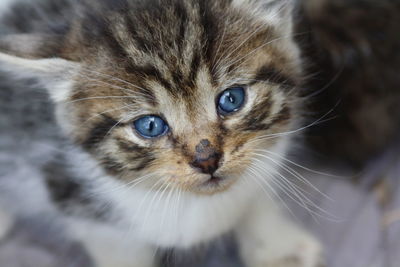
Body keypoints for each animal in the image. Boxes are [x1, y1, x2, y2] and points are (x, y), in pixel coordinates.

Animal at [0, 0, 322, 267]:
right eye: (150, 126)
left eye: (232, 99)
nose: (207, 160)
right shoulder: (71, 191)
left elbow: (255, 195)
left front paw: (277, 247)